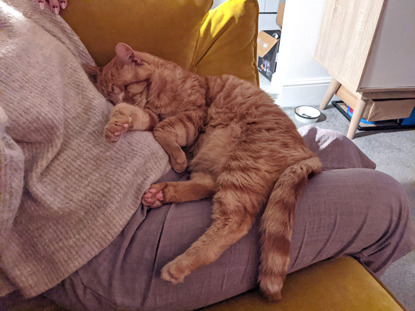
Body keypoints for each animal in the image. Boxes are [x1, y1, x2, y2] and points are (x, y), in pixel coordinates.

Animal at [84, 42, 324, 302]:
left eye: (125, 88)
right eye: (109, 96)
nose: (121, 98)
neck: (160, 86)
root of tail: (307, 152)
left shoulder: (193, 114)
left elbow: (162, 129)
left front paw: (177, 158)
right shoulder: (152, 115)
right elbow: (134, 115)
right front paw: (116, 125)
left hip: (241, 166)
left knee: (236, 222)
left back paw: (178, 265)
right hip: (221, 167)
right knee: (208, 188)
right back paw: (161, 194)